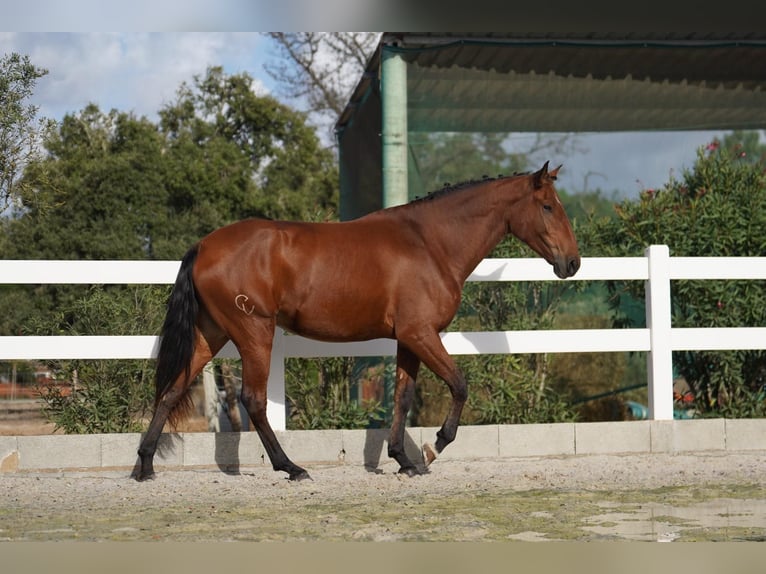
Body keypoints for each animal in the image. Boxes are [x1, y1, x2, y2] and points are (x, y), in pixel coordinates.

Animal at [136, 161, 584, 482]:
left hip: (210, 334)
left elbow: (403, 397)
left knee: (172, 389)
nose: (573, 263)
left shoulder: (409, 339)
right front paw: (433, 448)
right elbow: (459, 384)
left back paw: (144, 466)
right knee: (254, 401)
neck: (430, 243)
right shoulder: (422, 334)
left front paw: (404, 459)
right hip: (253, 333)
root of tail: (203, 245)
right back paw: (291, 468)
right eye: (547, 206)